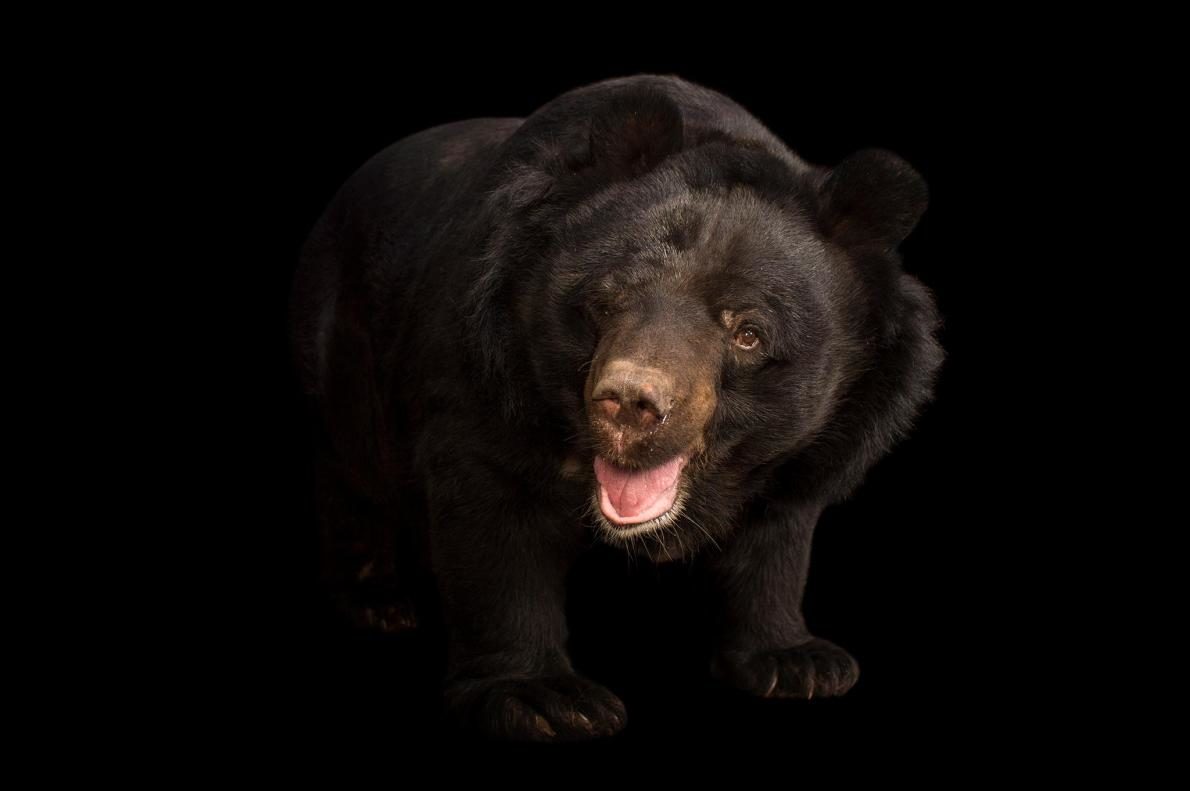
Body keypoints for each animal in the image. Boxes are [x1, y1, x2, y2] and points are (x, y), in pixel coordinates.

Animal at [289, 74, 943, 741]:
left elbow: (777, 532)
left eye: (748, 334)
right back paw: (378, 604)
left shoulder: (824, 437)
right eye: (608, 303)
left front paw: (799, 663)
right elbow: (495, 534)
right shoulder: (478, 369)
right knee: (351, 479)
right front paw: (544, 698)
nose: (630, 404)